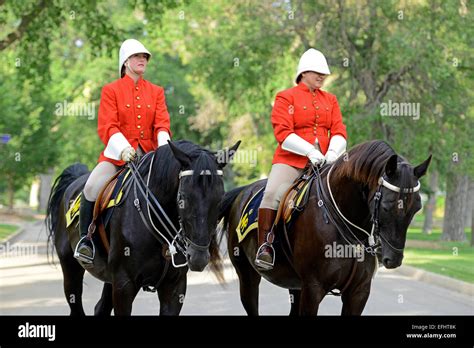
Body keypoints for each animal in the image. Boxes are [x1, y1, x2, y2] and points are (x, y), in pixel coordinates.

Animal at [45, 139, 239, 316]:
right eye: (182, 197)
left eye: (220, 198)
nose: (198, 258)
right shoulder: (124, 285)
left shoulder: (174, 288)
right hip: (71, 268)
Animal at [218, 139, 430, 316]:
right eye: (386, 205)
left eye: (417, 207)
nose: (393, 259)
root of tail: (243, 192)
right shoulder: (313, 288)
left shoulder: (358, 292)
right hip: (248, 276)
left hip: (296, 285)